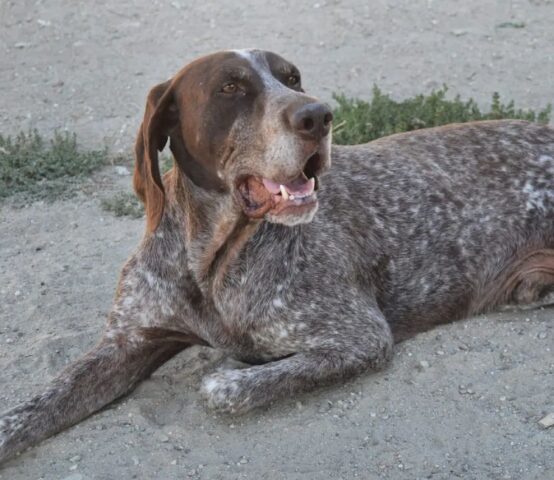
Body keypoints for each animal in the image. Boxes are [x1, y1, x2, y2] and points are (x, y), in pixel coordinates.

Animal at [1, 47, 552, 462]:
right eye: (230, 88)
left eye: (293, 78)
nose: (319, 115)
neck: (211, 259)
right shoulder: (125, 344)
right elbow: (30, 410)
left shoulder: (359, 337)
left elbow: (220, 388)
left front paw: (232, 371)